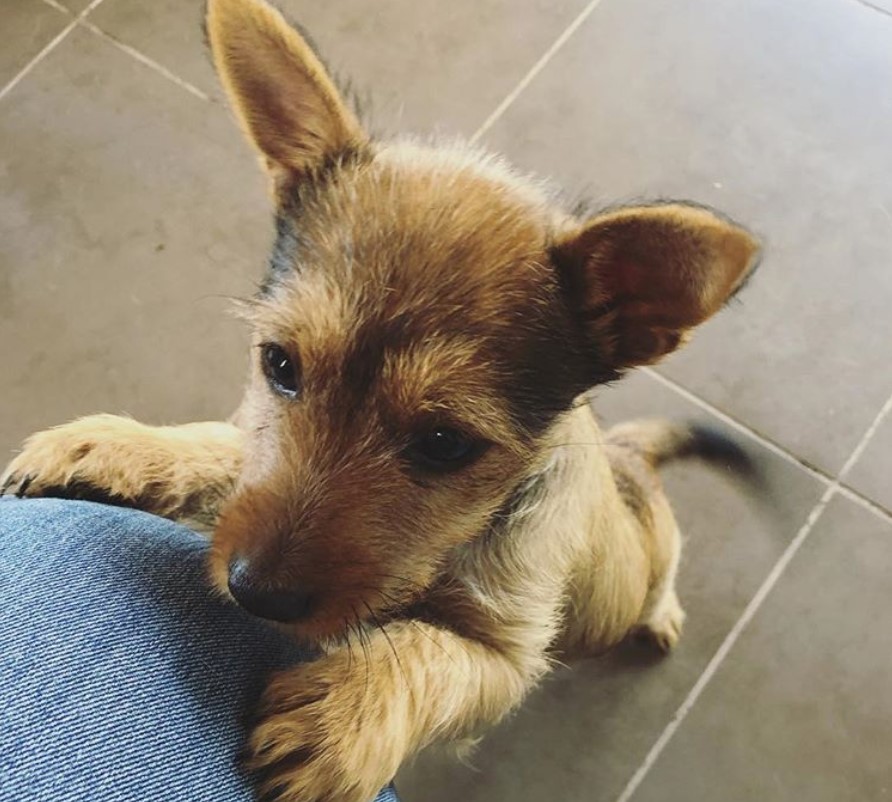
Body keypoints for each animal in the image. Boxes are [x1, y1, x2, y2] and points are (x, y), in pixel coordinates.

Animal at [1, 1, 760, 800]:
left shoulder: (505, 656)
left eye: (445, 444)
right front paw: (121, 448)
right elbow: (229, 447)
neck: (456, 539)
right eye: (279, 364)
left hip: (653, 552)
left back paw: (662, 612)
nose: (253, 593)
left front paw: (344, 715)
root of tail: (625, 455)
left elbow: (432, 654)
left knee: (666, 564)